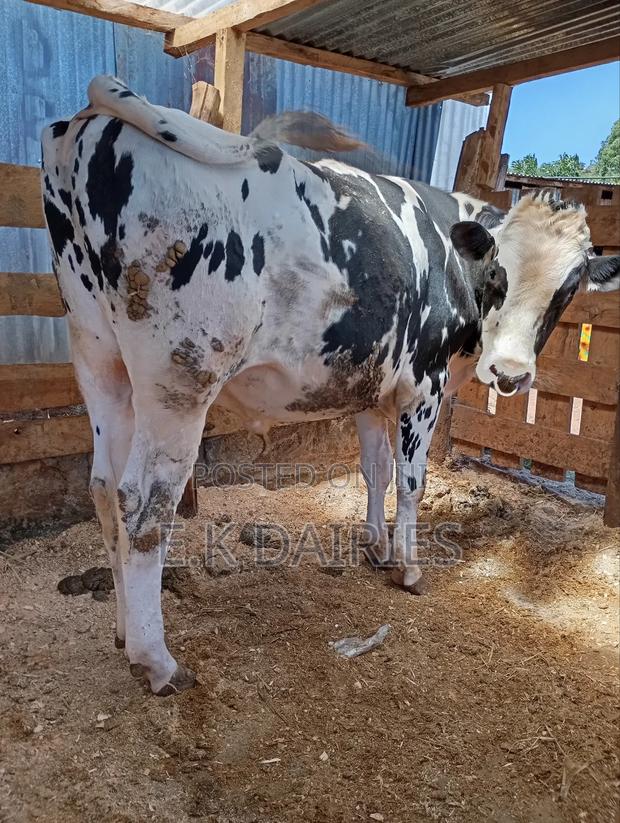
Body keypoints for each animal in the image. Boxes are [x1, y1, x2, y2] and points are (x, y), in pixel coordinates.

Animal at [41, 76, 620, 695]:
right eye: (497, 271)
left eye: (569, 288)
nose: (509, 374)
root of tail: (93, 119)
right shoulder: (424, 384)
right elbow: (411, 481)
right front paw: (409, 568)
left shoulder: (371, 385)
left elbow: (375, 468)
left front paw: (376, 547)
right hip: (180, 376)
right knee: (144, 502)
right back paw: (156, 660)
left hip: (98, 355)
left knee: (104, 486)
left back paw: (124, 632)